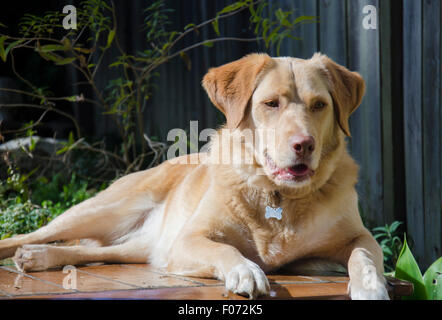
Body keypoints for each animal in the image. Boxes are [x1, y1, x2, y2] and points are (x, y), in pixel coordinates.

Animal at [0, 53, 386, 300]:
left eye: (319, 105)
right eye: (271, 104)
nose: (304, 145)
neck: (276, 194)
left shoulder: (360, 236)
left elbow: (364, 256)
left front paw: (371, 287)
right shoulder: (189, 239)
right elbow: (226, 249)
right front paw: (245, 270)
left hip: (147, 246)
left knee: (95, 251)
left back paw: (36, 257)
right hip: (105, 209)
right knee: (31, 234)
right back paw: (29, 250)